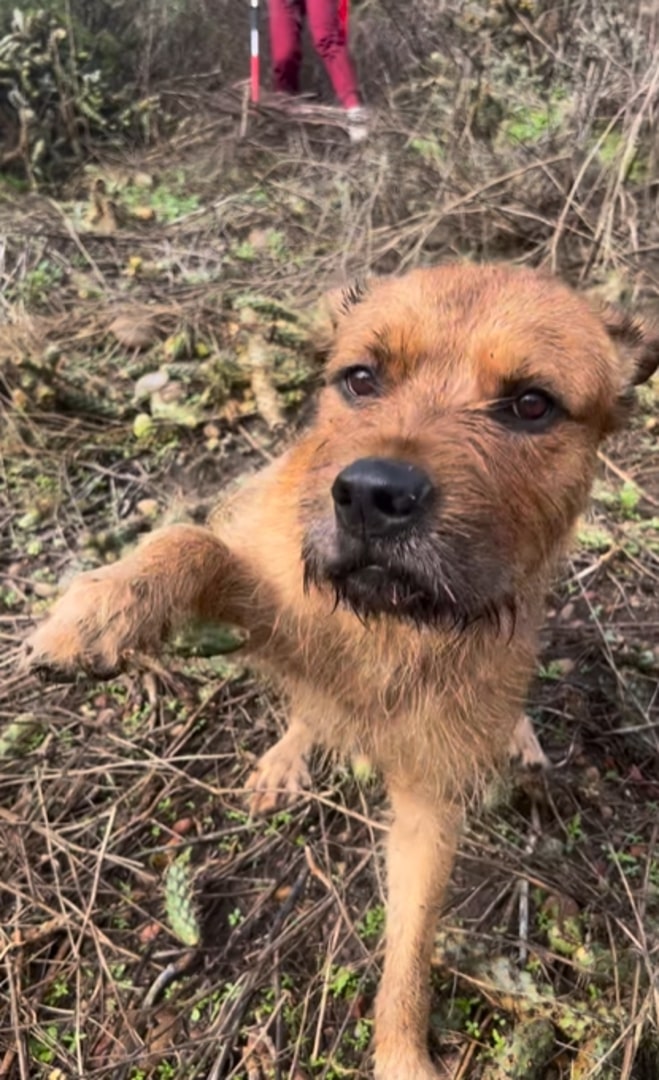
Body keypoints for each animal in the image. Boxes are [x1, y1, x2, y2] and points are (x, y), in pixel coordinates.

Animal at [24, 263, 656, 1080]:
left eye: (530, 403)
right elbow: (191, 542)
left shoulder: (429, 802)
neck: (396, 626)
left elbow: (410, 950)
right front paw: (97, 609)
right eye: (360, 378)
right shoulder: (274, 604)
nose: (371, 494)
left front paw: (401, 1054)